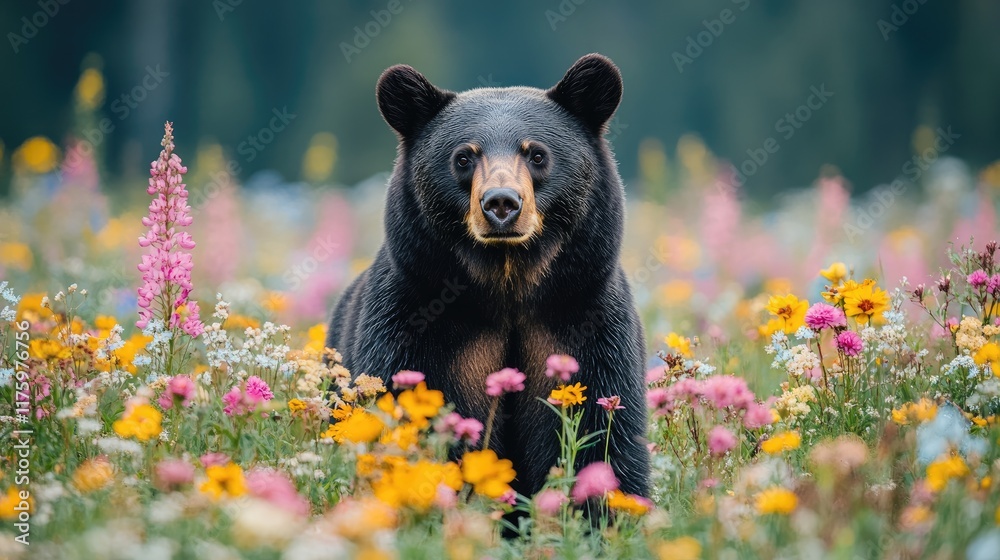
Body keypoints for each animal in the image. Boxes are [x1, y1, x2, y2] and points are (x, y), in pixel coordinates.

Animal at [326, 53, 650, 500]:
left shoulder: (585, 319)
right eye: (464, 157)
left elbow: (604, 431)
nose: (501, 203)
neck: (507, 285)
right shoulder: (412, 321)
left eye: (537, 154)